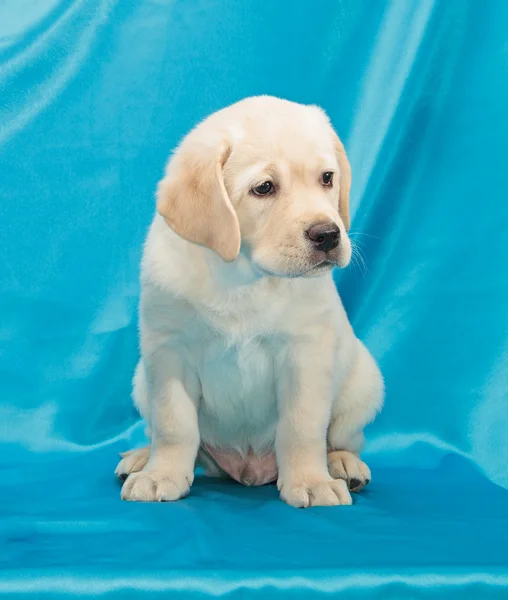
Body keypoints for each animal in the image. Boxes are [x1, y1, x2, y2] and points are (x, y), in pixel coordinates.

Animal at [115, 97, 382, 506]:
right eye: (264, 188)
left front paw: (311, 481)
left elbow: (303, 427)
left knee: (342, 438)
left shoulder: (305, 354)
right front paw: (161, 475)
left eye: (327, 178)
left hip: (365, 383)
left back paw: (342, 464)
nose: (328, 234)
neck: (243, 274)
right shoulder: (168, 353)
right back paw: (142, 457)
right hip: (140, 382)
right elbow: (174, 424)